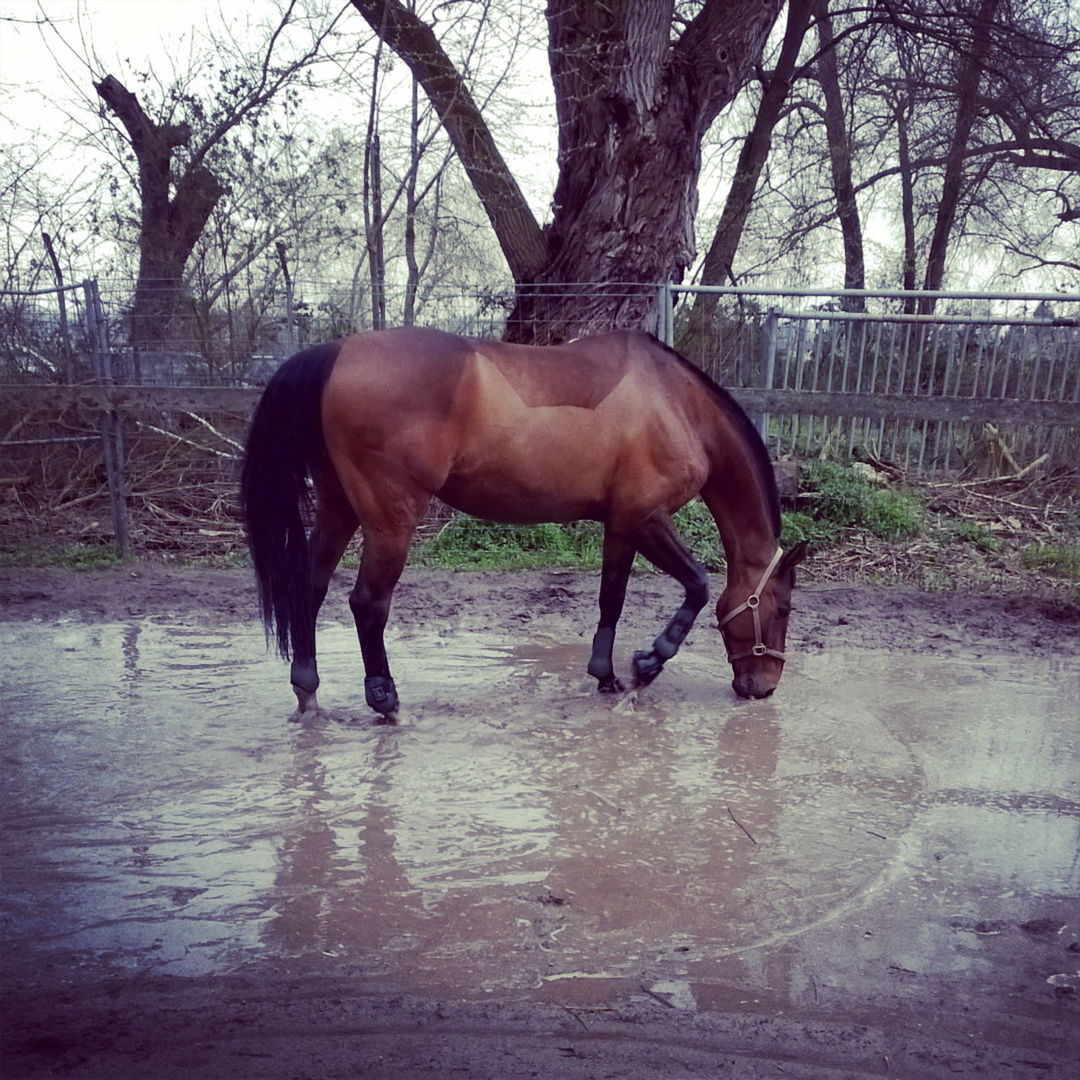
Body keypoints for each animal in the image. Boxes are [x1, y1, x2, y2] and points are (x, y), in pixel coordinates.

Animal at [240, 328, 807, 717]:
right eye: (782, 608)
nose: (764, 687)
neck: (676, 404)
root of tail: (335, 352)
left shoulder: (620, 525)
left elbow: (612, 599)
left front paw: (606, 677)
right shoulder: (646, 518)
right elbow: (698, 585)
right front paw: (648, 664)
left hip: (339, 508)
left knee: (310, 589)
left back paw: (307, 690)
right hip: (389, 521)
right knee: (368, 603)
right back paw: (385, 700)